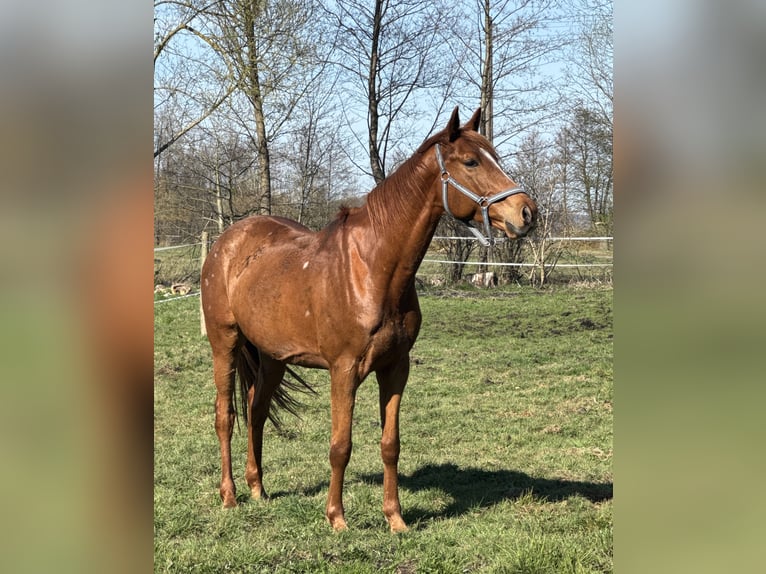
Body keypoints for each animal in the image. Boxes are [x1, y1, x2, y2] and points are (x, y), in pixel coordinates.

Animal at [200, 107, 537, 532]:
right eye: (471, 162)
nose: (527, 212)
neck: (374, 270)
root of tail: (226, 242)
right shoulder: (343, 370)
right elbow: (340, 446)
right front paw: (336, 518)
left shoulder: (395, 368)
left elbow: (390, 444)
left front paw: (395, 518)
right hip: (224, 344)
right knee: (226, 416)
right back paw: (229, 496)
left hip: (273, 357)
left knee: (256, 411)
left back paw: (258, 489)